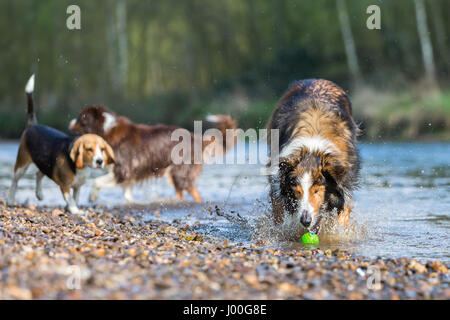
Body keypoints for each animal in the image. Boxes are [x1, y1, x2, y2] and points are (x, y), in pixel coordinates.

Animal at [7, 75, 114, 214]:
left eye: (102, 149)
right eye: (89, 149)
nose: (100, 161)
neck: (81, 167)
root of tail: (33, 125)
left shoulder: (77, 186)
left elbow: (75, 198)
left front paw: (70, 208)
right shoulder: (65, 186)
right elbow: (71, 200)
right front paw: (75, 211)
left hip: (45, 164)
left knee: (38, 174)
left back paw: (39, 194)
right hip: (22, 164)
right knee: (14, 181)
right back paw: (10, 200)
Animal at [68, 106, 237, 204]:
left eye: (81, 118)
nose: (69, 123)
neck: (105, 128)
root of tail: (197, 138)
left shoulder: (123, 171)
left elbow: (96, 182)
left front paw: (91, 197)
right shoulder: (128, 178)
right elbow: (127, 196)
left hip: (180, 173)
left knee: (190, 194)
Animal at [268, 77, 358, 232]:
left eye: (316, 190)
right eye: (297, 191)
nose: (305, 221)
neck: (312, 148)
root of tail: (317, 79)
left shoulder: (345, 185)